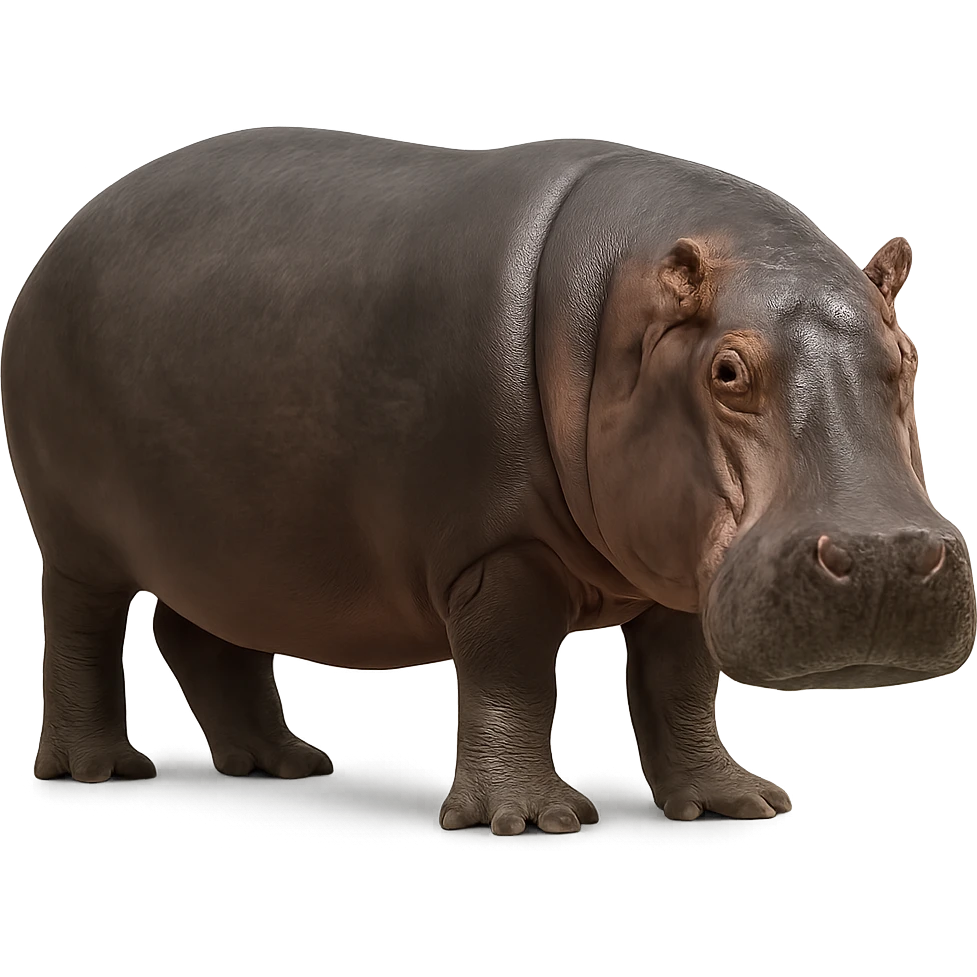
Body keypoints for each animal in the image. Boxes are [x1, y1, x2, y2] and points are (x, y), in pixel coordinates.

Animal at [3, 130, 973, 836]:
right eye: (727, 370)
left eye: (904, 353)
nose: (883, 555)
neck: (617, 320)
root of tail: (70, 228)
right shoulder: (497, 550)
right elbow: (510, 673)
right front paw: (529, 819)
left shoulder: (682, 566)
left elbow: (679, 682)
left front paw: (731, 801)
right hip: (79, 534)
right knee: (80, 627)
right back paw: (99, 768)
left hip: (235, 539)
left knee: (204, 633)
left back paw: (284, 761)